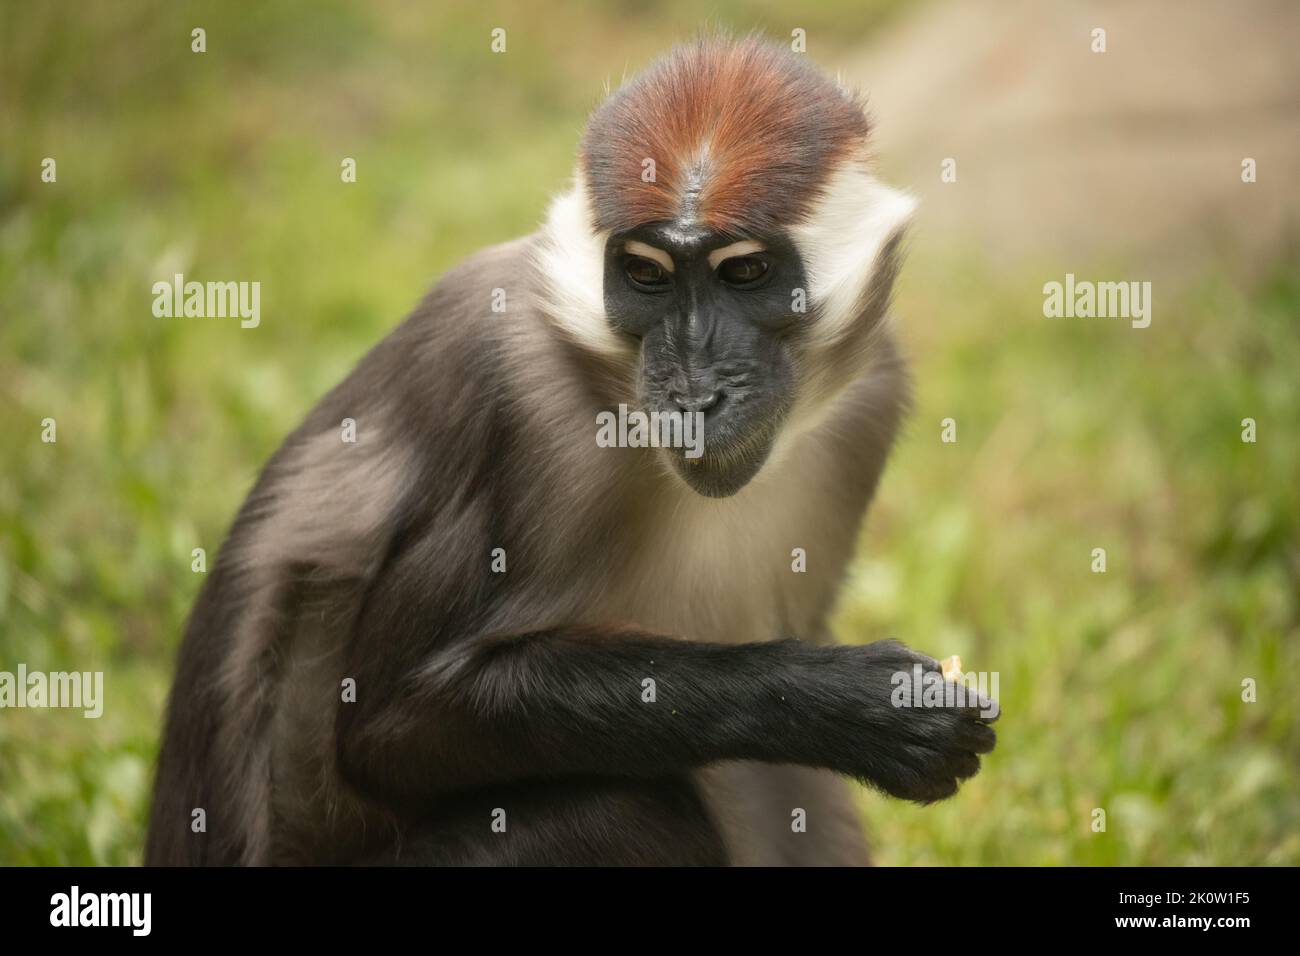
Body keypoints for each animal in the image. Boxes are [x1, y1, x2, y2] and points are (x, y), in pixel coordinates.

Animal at [144, 35, 993, 868]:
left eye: (746, 271)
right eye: (646, 275)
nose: (693, 393)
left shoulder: (872, 399)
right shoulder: (522, 402)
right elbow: (388, 731)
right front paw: (847, 706)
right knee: (633, 808)